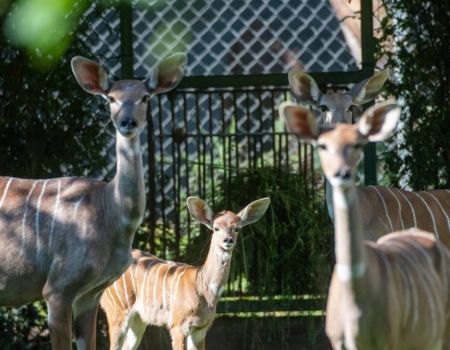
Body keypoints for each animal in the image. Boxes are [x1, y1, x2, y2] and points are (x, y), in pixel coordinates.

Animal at [0, 53, 186, 348]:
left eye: (145, 97)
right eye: (111, 98)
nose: (128, 122)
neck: (108, 210)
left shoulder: (91, 294)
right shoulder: (58, 288)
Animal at [100, 197, 268, 350]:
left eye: (237, 228)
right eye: (216, 228)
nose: (228, 240)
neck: (204, 288)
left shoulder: (201, 328)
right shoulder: (178, 325)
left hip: (138, 319)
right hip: (118, 310)